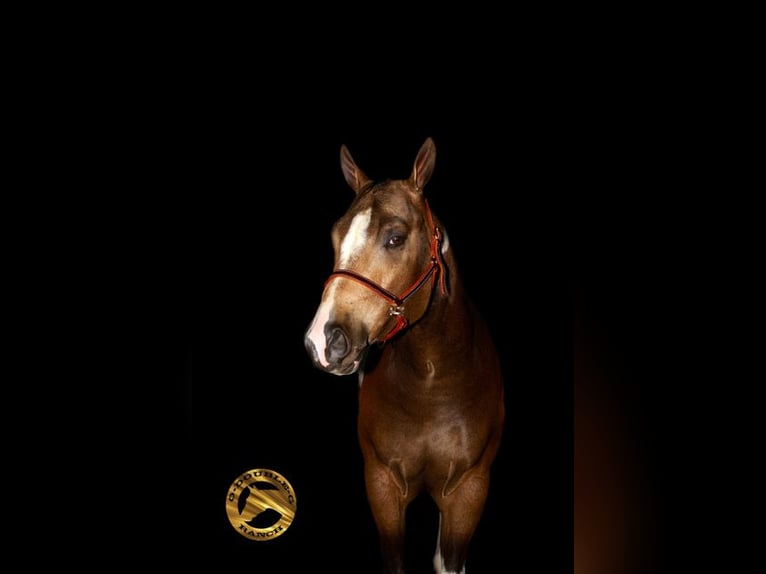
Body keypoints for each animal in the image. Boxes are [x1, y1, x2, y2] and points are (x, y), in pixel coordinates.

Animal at [304, 137, 505, 574]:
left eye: (395, 238)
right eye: (335, 236)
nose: (323, 341)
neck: (431, 382)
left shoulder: (468, 491)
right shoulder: (382, 486)